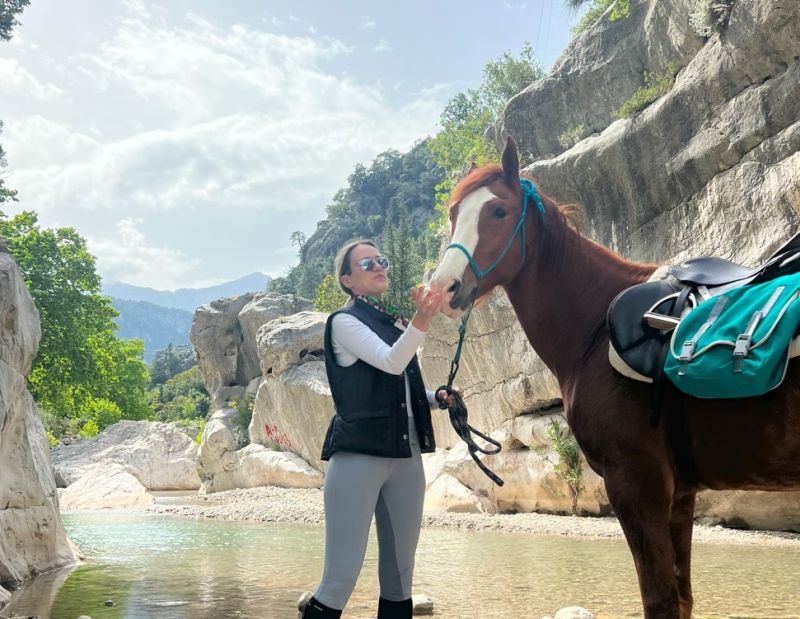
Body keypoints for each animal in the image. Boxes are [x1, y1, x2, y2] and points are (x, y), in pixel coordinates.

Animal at [432, 137, 800, 619]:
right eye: (454, 214)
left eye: (498, 211)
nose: (441, 289)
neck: (595, 329)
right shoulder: (679, 496)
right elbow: (682, 599)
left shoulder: (635, 484)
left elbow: (660, 600)